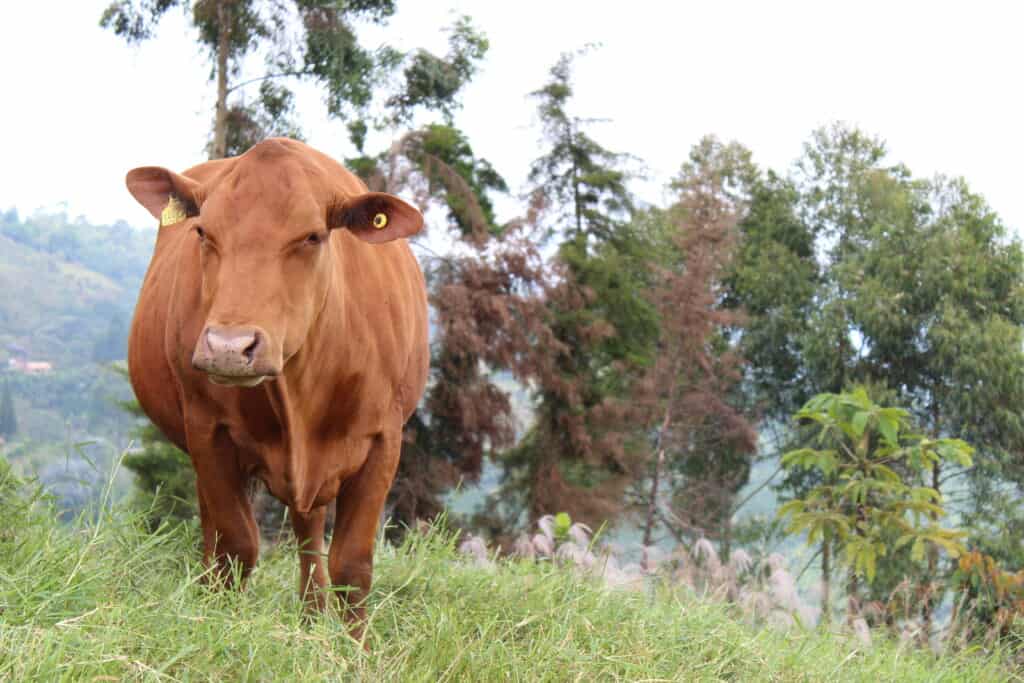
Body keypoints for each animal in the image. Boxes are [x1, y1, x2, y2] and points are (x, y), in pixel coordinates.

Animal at [124, 139, 428, 634]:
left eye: (312, 236)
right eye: (203, 232)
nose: (229, 347)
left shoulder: (384, 439)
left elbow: (352, 565)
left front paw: (355, 646)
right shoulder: (208, 431)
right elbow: (236, 547)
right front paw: (217, 628)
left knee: (309, 532)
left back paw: (311, 616)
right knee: (216, 534)